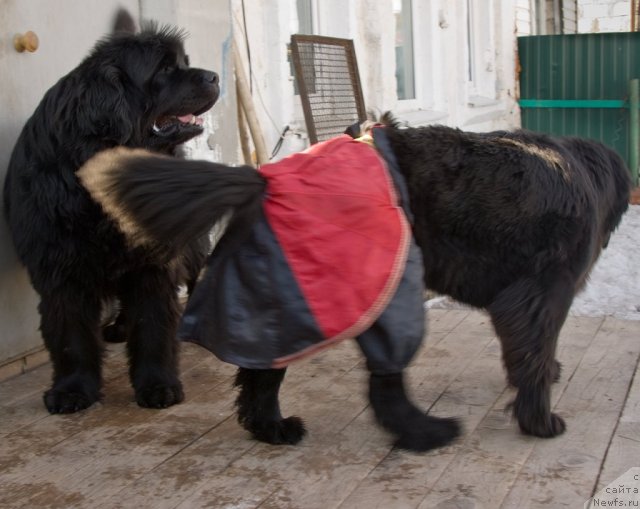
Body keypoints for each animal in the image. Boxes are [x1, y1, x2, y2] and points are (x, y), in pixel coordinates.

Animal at [2, 10, 219, 412]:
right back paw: (118, 326)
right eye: (165, 69)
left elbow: (153, 325)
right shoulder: (58, 267)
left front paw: (158, 385)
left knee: (199, 270)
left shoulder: (154, 261)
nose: (213, 75)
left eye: (183, 62)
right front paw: (72, 389)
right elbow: (70, 335)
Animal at [76, 113, 632, 450]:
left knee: (268, 374)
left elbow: (531, 354)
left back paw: (274, 429)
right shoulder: (540, 295)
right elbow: (533, 354)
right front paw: (540, 421)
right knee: (378, 383)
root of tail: (263, 177)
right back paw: (424, 432)